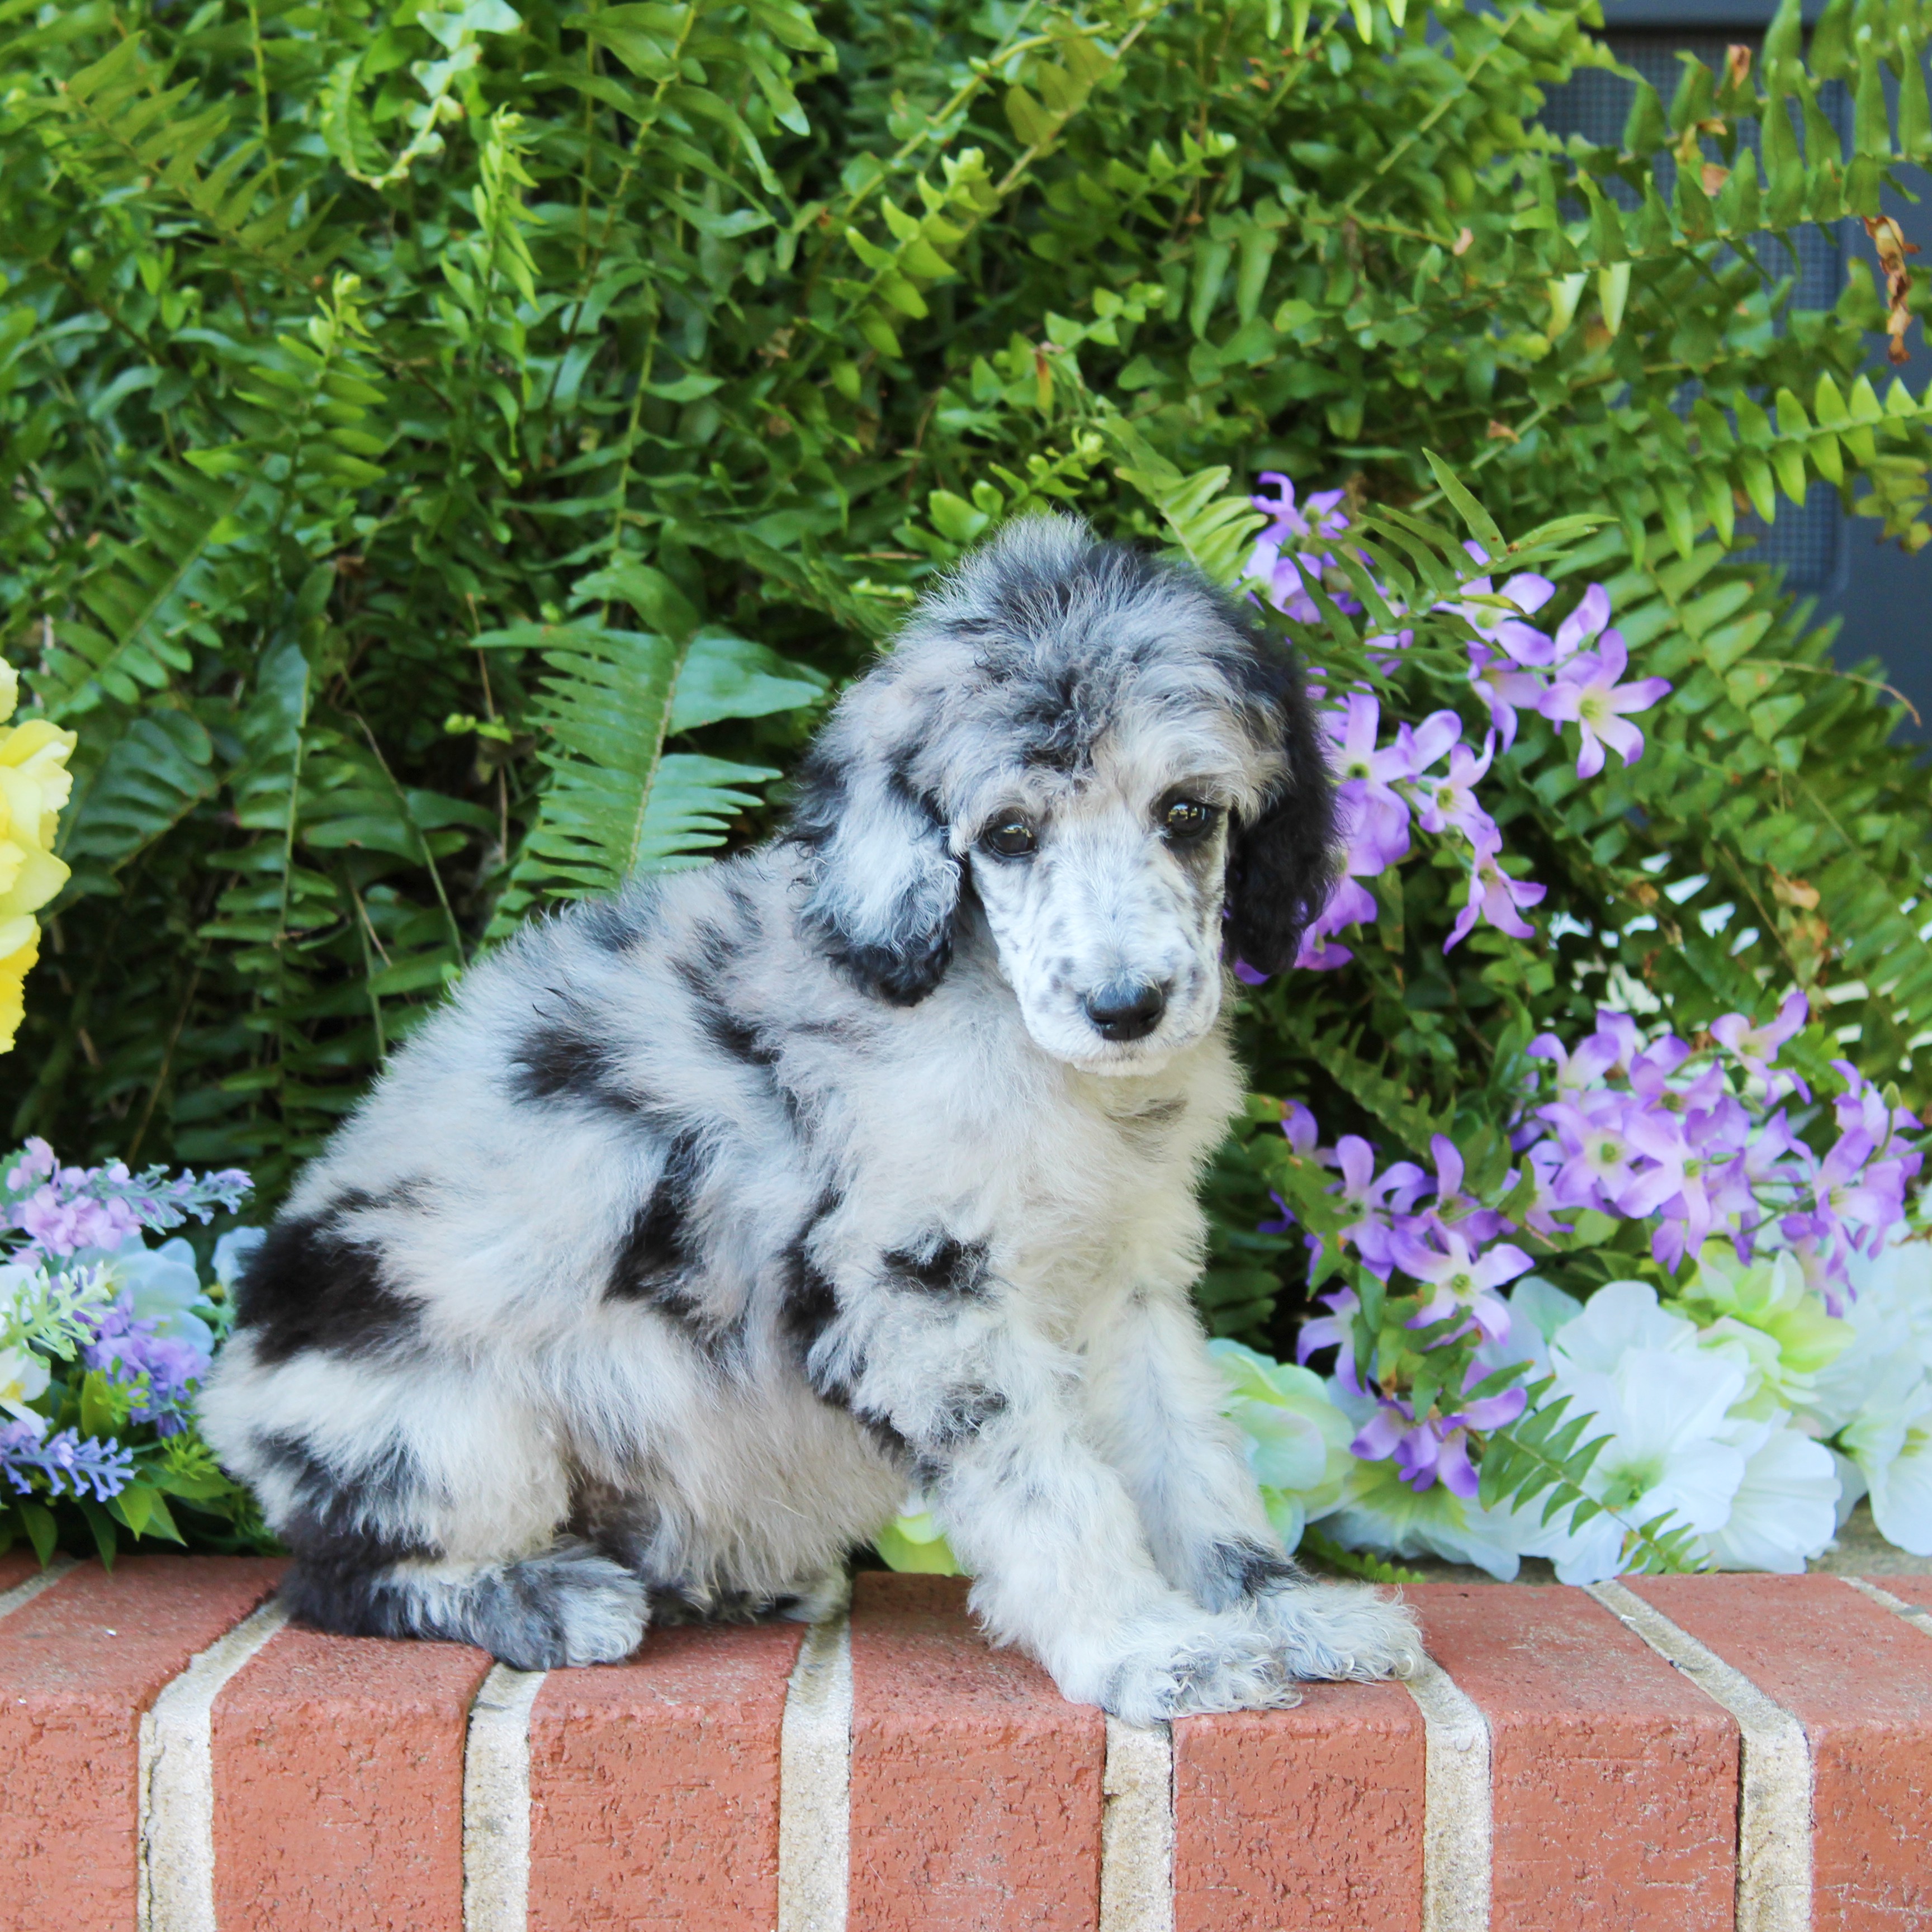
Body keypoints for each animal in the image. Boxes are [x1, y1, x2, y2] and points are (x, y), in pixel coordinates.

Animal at [200, 514, 1422, 1723]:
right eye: (1009, 835)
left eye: (1187, 814)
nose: (1126, 1010)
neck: (1012, 1035)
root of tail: (232, 1397)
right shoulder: (921, 1288)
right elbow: (1047, 1484)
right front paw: (1142, 1644)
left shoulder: (1125, 1277)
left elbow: (1188, 1457)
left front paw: (1279, 1609)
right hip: (451, 1428)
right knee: (337, 1576)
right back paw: (550, 1598)